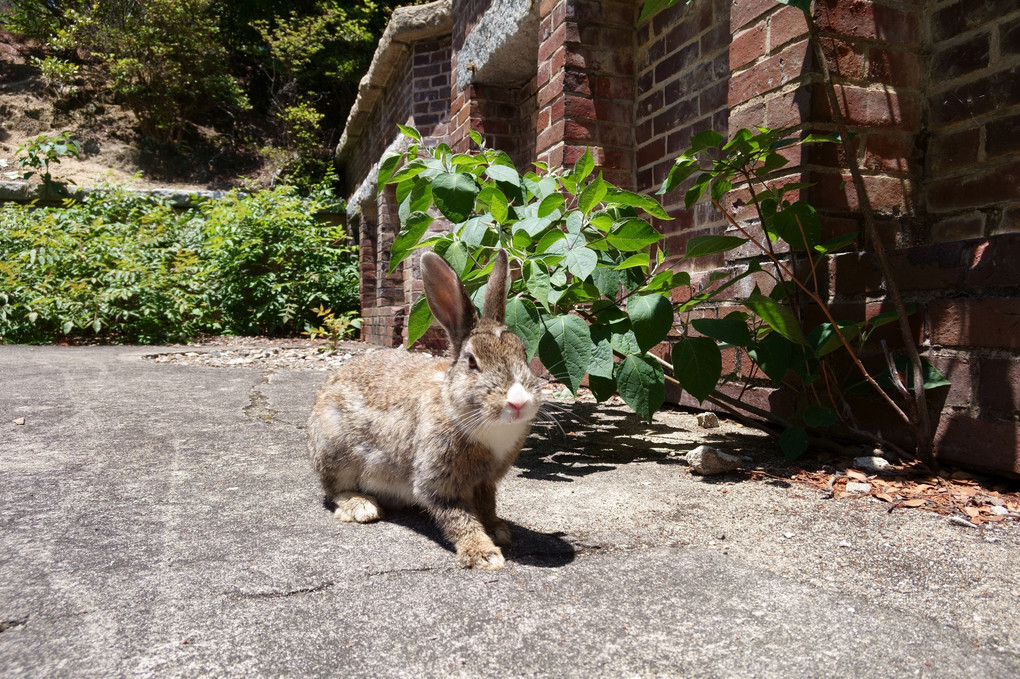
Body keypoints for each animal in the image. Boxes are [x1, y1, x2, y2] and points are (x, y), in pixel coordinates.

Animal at [306, 247, 542, 566]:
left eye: (523, 353)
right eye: (472, 362)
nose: (518, 401)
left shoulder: (485, 482)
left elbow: (487, 505)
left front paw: (498, 530)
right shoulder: (437, 481)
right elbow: (457, 516)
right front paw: (484, 554)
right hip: (335, 449)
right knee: (334, 490)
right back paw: (362, 507)